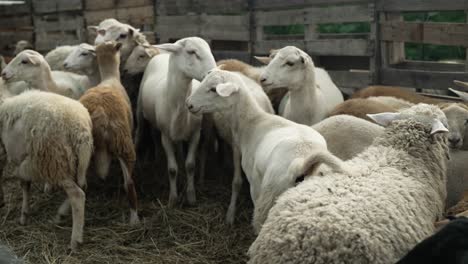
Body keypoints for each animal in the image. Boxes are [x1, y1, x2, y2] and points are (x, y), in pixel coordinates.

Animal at [0, 89, 93, 251]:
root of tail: (80, 130)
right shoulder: (24, 159)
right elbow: (25, 184)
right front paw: (24, 214)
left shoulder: (5, 152)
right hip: (72, 165)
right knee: (82, 187)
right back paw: (61, 215)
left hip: (54, 162)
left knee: (78, 195)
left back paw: (75, 241)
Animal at [135, 37, 216, 206]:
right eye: (191, 52)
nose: (214, 73)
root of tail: (163, 54)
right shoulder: (165, 136)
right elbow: (172, 169)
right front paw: (172, 199)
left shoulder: (195, 134)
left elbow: (190, 165)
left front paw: (191, 197)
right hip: (140, 110)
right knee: (143, 134)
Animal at [186, 68, 340, 233]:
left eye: (214, 89)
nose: (189, 104)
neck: (253, 122)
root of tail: (304, 162)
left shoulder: (255, 183)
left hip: (270, 195)